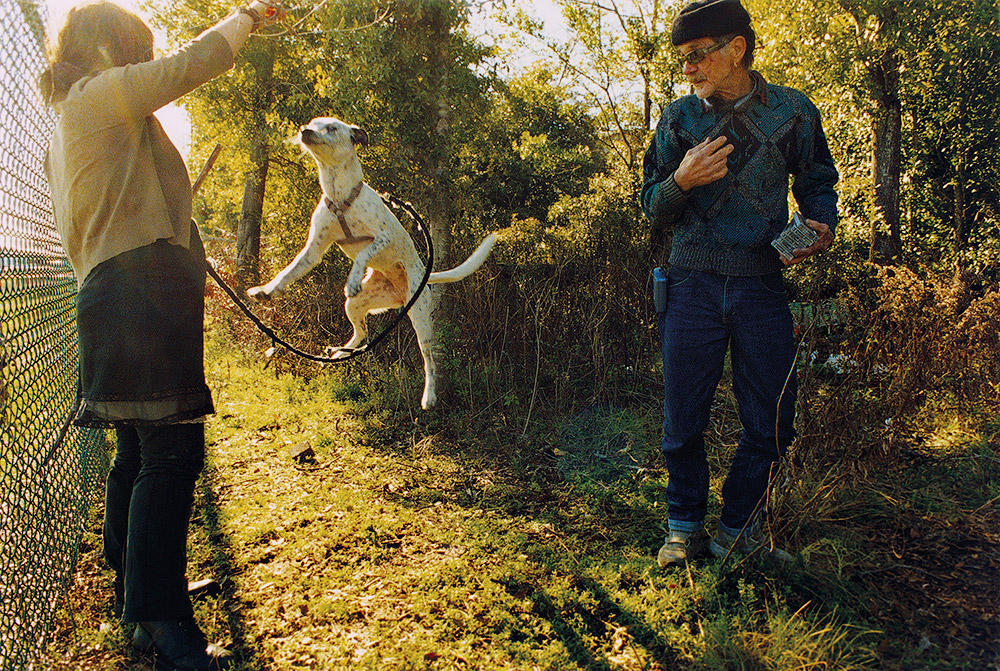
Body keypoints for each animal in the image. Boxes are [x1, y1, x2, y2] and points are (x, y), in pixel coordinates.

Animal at [246, 117, 496, 410]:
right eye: (311, 123)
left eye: (331, 128)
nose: (304, 132)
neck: (340, 195)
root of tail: (424, 275)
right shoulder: (313, 251)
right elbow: (287, 273)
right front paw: (265, 290)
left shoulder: (382, 238)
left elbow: (363, 253)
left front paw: (353, 278)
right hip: (355, 305)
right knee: (361, 335)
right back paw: (340, 352)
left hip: (419, 318)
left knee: (429, 359)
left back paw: (429, 395)